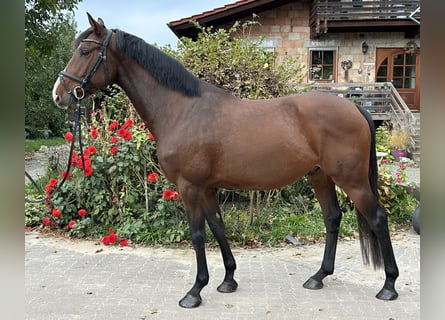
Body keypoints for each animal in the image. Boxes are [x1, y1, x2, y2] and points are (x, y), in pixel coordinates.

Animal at [52, 13, 398, 308]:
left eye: (85, 50)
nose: (59, 94)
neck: (181, 110)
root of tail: (355, 108)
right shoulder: (207, 188)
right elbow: (218, 228)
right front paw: (228, 279)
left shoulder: (189, 187)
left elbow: (197, 235)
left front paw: (194, 291)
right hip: (320, 176)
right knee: (332, 218)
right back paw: (318, 277)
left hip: (352, 181)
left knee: (378, 219)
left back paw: (389, 286)